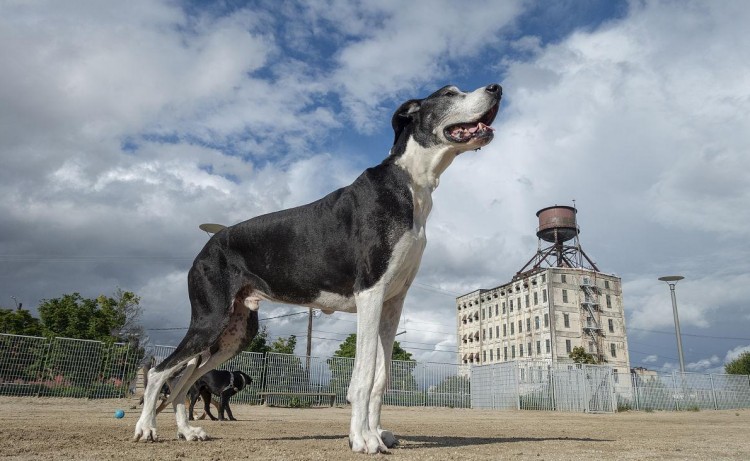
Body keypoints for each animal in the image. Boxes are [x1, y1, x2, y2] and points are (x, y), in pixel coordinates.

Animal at [133, 83, 502, 452]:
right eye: (449, 94)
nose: (496, 88)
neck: (409, 180)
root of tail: (210, 244)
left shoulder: (392, 304)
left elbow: (381, 377)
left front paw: (377, 432)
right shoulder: (370, 293)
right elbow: (363, 376)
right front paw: (362, 438)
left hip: (233, 336)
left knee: (184, 379)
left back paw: (186, 430)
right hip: (209, 322)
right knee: (161, 372)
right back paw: (147, 428)